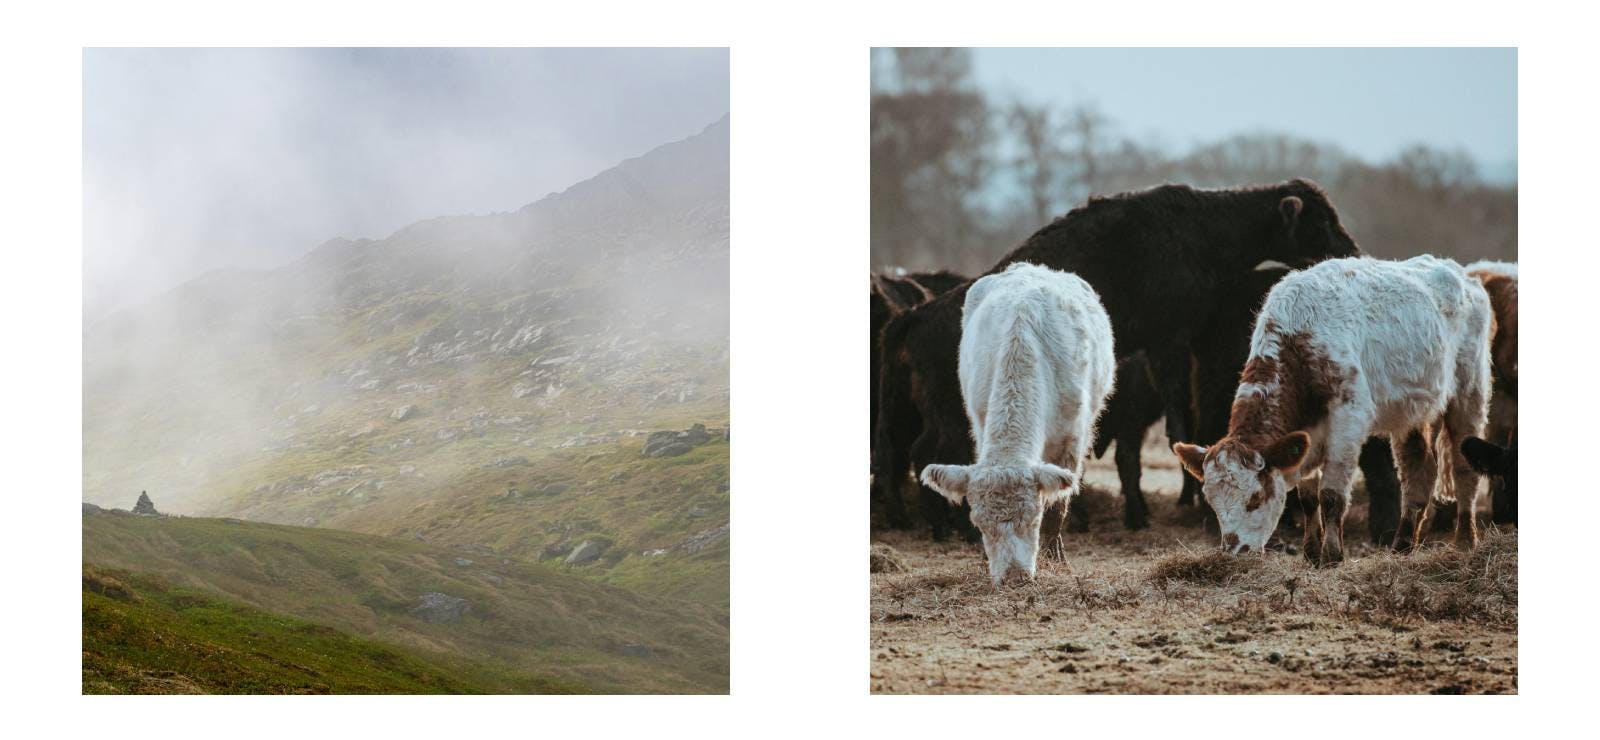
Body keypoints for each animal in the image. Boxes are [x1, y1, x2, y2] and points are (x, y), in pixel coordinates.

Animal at [921, 262, 1120, 586]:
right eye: (978, 523)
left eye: (1033, 518)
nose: (1014, 577)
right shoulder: (980, 424)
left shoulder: (1071, 440)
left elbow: (1058, 506)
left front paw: (1056, 559)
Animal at [1171, 256, 1491, 567]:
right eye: (1212, 501)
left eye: (1256, 497)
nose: (1235, 552)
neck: (1300, 337)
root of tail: (1463, 275)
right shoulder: (1306, 434)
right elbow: (1308, 497)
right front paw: (1311, 553)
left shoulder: (1348, 421)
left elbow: (1331, 495)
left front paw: (1332, 555)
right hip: (1413, 412)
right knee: (1418, 470)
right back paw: (1402, 546)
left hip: (1470, 390)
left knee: (1463, 467)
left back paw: (1465, 540)